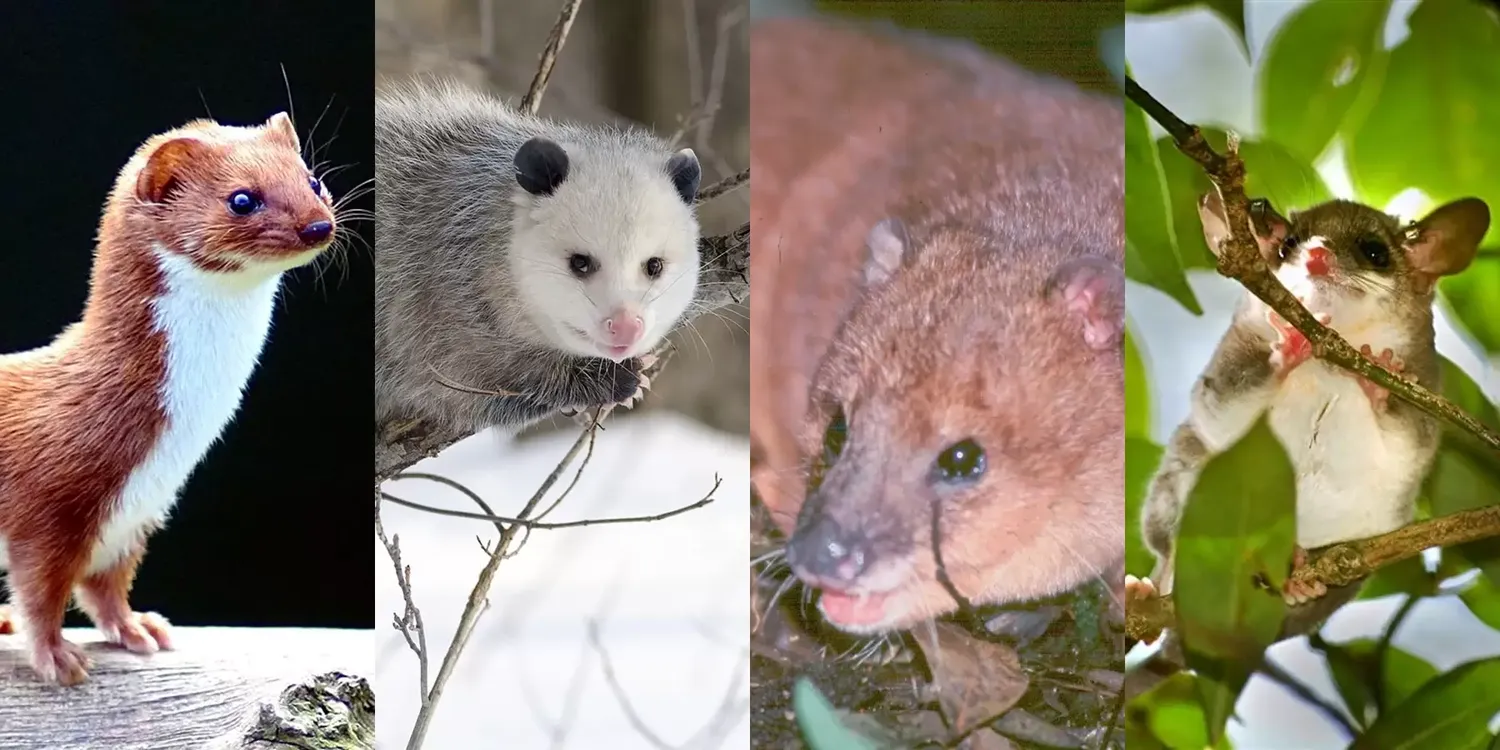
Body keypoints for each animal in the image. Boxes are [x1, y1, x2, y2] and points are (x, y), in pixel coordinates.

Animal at [0, 112, 337, 687]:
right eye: (242, 198)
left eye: (313, 180)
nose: (318, 225)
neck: (171, 443)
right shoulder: (44, 506)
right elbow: (40, 590)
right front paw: (58, 657)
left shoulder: (138, 512)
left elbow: (106, 586)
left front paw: (138, 628)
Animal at [375, 82, 702, 435]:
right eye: (579, 263)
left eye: (654, 265)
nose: (626, 328)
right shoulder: (427, 301)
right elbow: (468, 380)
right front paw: (614, 379)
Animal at [1134, 195, 1488, 639]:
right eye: (1288, 245)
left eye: (1375, 251)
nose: (1317, 255)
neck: (1330, 353)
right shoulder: (1234, 356)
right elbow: (1219, 413)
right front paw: (1285, 353)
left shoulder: (1424, 391)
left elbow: (1405, 446)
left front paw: (1375, 382)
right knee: (1167, 551)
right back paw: (1146, 591)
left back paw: (1300, 581)